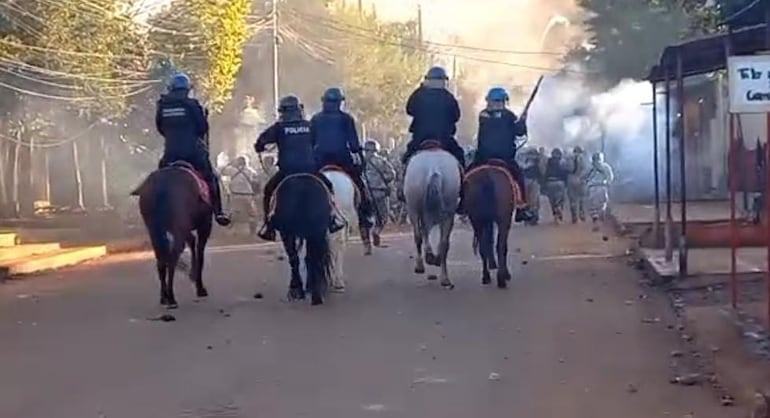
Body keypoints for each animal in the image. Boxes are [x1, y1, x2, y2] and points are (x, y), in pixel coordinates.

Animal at [130, 162, 212, 308]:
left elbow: (192, 242)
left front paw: (192, 275)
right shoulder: (204, 226)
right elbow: (200, 253)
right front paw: (200, 287)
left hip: (154, 228)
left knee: (161, 257)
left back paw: (164, 296)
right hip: (178, 226)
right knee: (173, 255)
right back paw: (171, 297)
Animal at [460, 158, 520, 290]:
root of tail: (488, 177)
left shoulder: (486, 221)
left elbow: (488, 242)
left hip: (477, 220)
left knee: (484, 246)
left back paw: (486, 276)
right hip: (502, 219)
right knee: (500, 246)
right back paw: (501, 278)